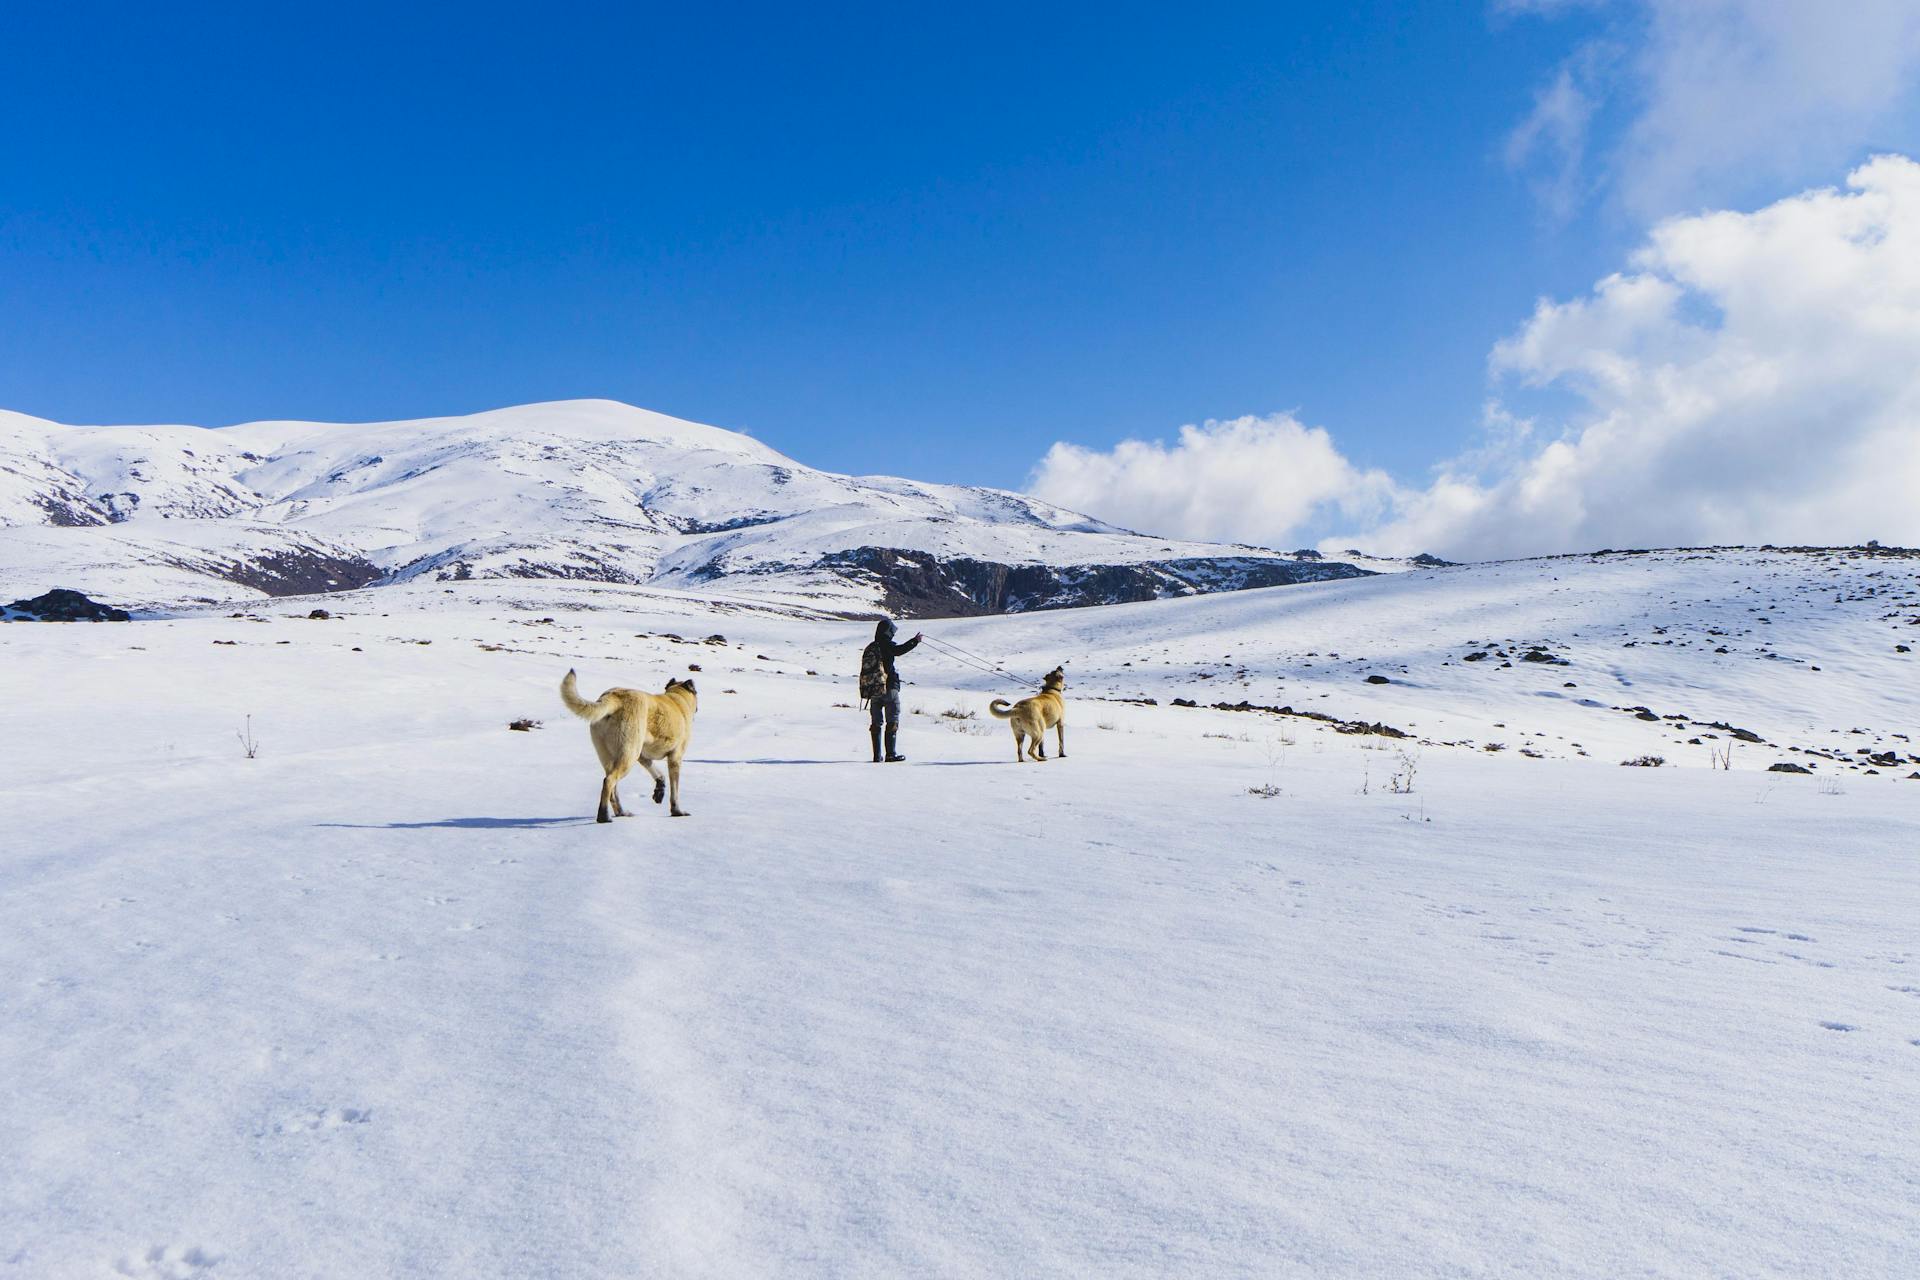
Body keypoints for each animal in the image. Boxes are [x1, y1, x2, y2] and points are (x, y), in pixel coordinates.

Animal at [560, 671, 698, 821]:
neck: (677, 698)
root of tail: (614, 697)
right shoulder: (675, 758)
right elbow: (675, 791)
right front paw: (677, 811)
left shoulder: (642, 756)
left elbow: (657, 772)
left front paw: (659, 789)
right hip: (629, 756)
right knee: (609, 781)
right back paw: (604, 816)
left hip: (613, 757)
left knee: (612, 788)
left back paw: (621, 812)